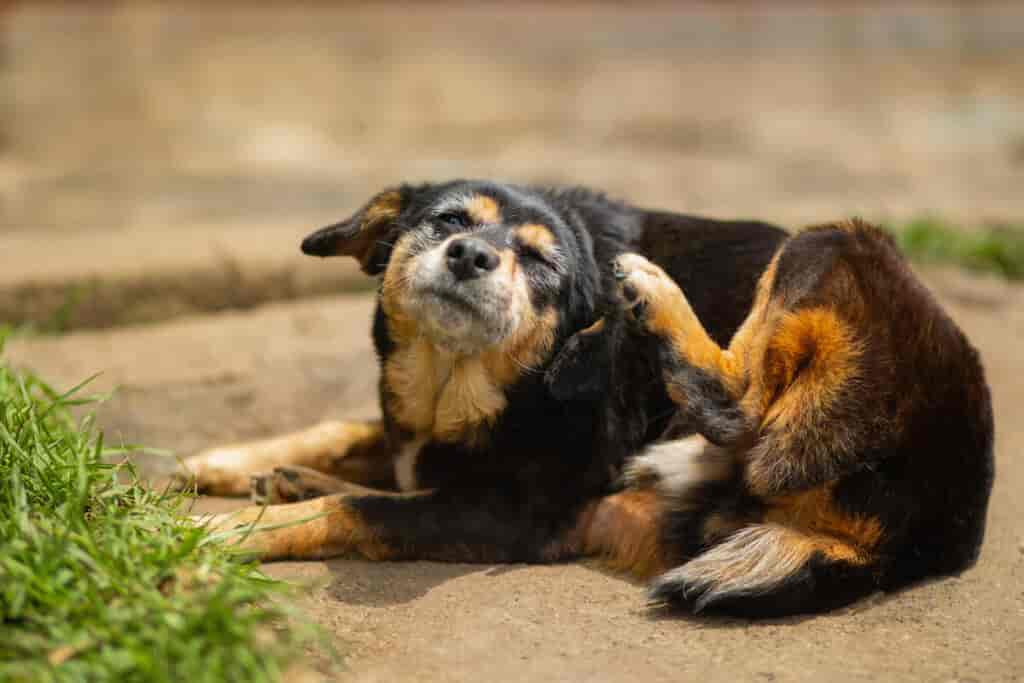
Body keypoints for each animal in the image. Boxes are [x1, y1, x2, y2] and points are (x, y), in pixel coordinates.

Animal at [178, 179, 782, 573]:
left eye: (539, 260)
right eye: (450, 220)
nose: (470, 254)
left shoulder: (518, 515)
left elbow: (358, 509)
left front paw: (216, 532)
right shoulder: (416, 434)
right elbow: (347, 432)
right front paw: (224, 462)